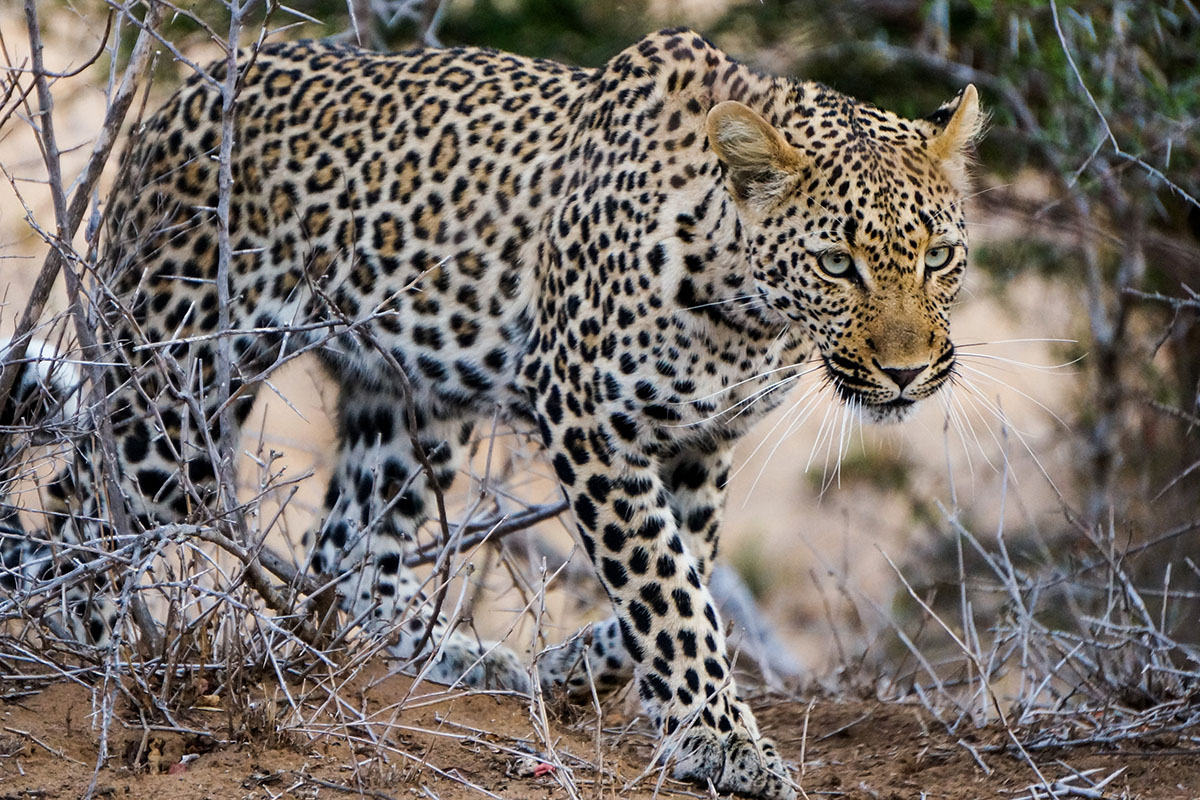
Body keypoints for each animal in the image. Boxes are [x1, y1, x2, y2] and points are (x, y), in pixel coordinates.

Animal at [0, 28, 982, 799]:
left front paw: (588, 669)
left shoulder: (699, 438)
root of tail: (171, 105)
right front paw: (720, 739)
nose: (907, 374)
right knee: (81, 524)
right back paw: (95, 662)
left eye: (939, 256)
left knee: (346, 549)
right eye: (837, 263)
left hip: (409, 402)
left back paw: (461, 658)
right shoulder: (590, 417)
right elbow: (664, 585)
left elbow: (687, 567)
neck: (747, 309)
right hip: (176, 384)